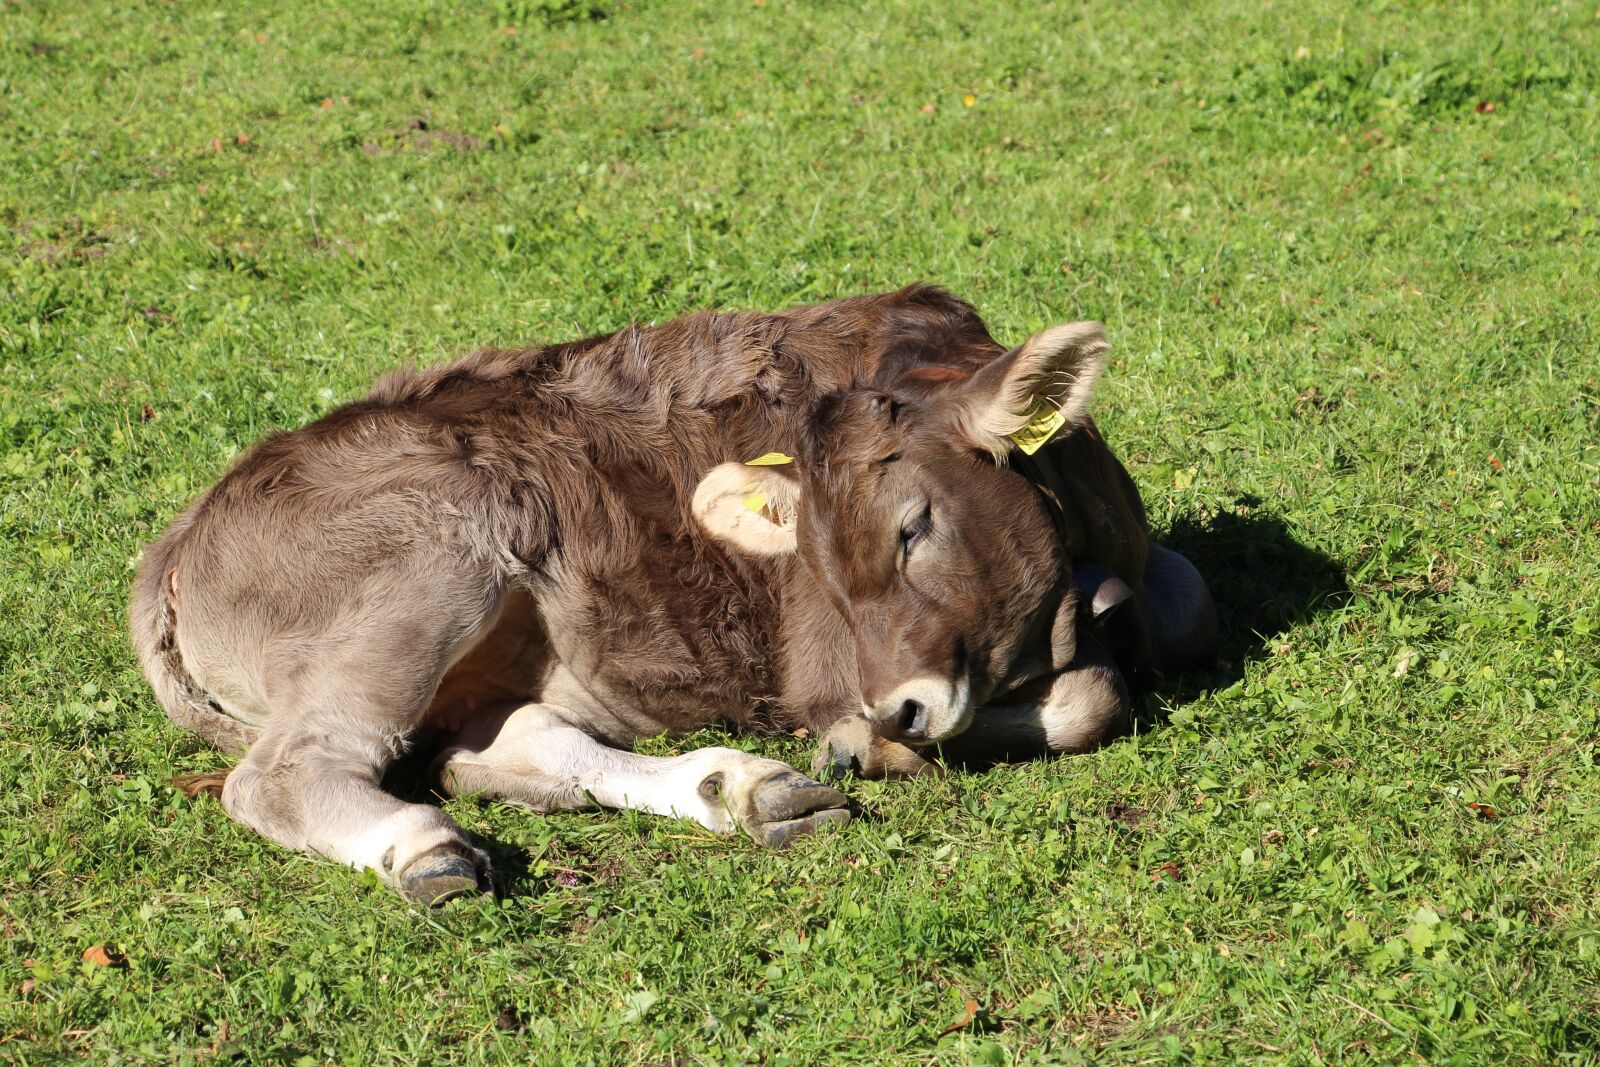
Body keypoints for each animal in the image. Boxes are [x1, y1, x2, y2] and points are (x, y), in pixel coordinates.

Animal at [134, 287, 1209, 908]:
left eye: (914, 527)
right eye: (818, 562)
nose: (896, 710)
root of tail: (179, 536)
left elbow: (1185, 599)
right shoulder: (827, 663)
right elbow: (1092, 697)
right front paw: (862, 745)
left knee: (516, 746)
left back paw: (740, 789)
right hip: (429, 560)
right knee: (281, 774)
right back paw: (424, 850)